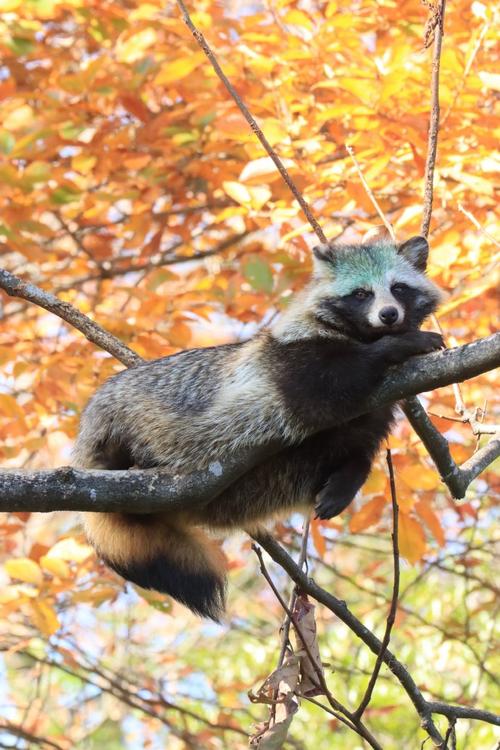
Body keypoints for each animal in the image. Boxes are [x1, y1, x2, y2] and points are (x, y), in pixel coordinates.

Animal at [73, 238, 442, 620]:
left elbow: (356, 449)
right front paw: (396, 345)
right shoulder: (290, 363)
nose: (389, 315)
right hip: (137, 415)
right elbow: (331, 385)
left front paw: (349, 476)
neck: (361, 334)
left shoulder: (375, 411)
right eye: (361, 294)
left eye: (398, 288)